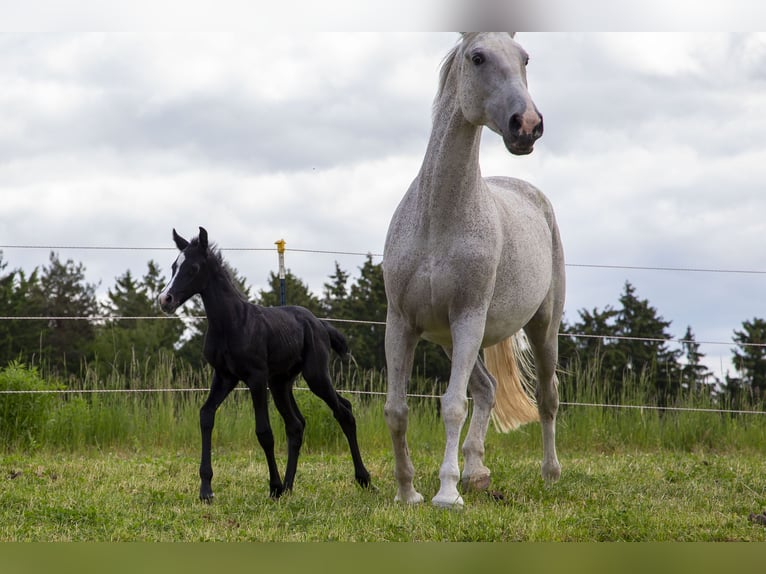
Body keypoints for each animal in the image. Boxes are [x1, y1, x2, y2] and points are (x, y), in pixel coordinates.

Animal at [158, 227, 371, 500]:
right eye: (174, 266)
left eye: (193, 268)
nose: (165, 299)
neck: (232, 322)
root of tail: (320, 324)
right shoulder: (224, 376)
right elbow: (206, 415)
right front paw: (206, 490)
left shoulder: (256, 377)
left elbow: (264, 432)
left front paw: (273, 486)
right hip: (281, 383)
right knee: (296, 425)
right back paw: (289, 487)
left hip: (315, 375)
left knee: (344, 412)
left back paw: (363, 479)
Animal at [383, 32, 565, 508]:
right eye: (477, 57)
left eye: (525, 59)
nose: (527, 125)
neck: (438, 220)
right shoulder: (402, 323)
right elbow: (397, 409)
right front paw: (407, 492)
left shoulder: (468, 318)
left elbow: (452, 405)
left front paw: (446, 494)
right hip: (452, 339)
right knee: (487, 390)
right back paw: (477, 472)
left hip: (542, 328)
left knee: (547, 398)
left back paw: (549, 473)